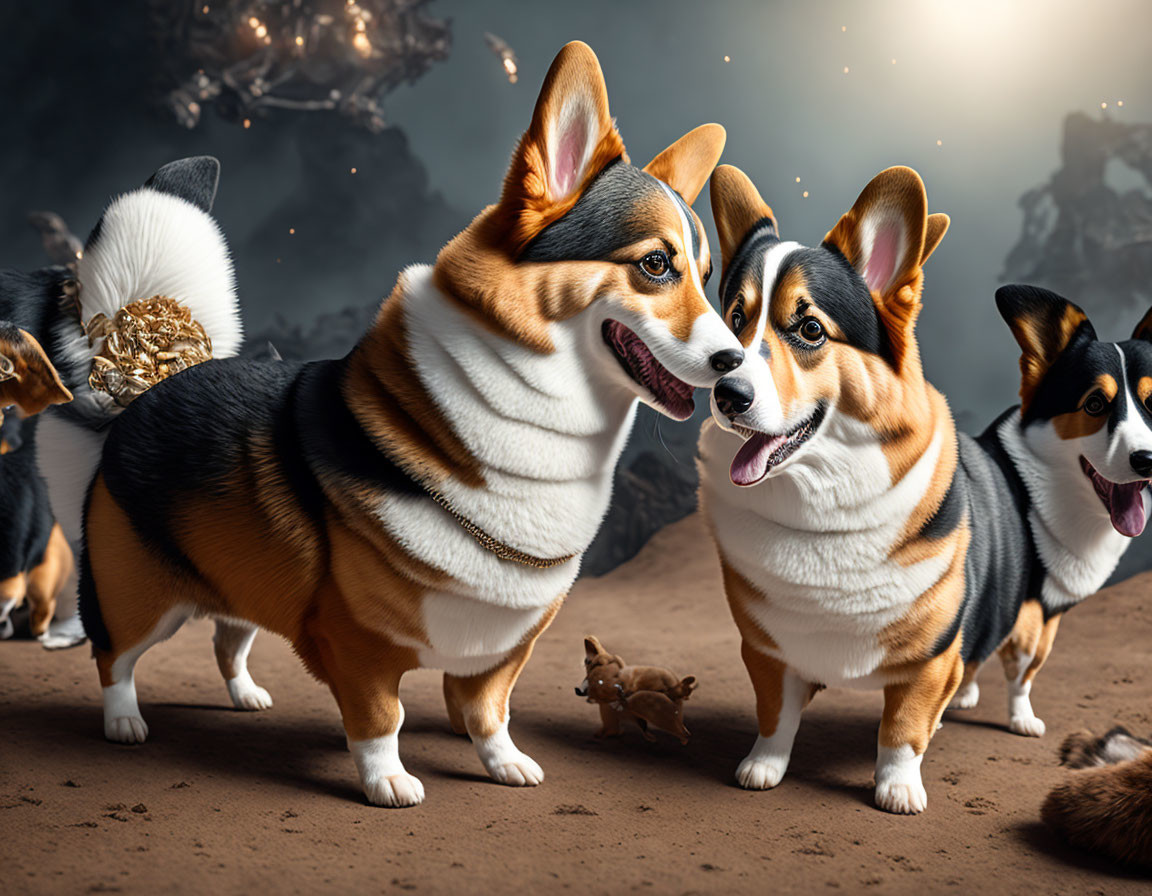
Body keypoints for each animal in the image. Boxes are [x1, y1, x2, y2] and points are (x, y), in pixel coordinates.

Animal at [81, 42, 746, 806]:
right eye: (656, 264)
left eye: (707, 276)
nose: (736, 366)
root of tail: (155, 381)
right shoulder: (357, 644)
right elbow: (381, 718)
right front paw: (388, 781)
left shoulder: (504, 649)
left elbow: (490, 711)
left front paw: (504, 763)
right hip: (138, 595)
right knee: (115, 656)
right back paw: (124, 724)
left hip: (242, 580)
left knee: (228, 636)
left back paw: (245, 694)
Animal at [695, 160, 1147, 810]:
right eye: (734, 319)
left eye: (809, 329)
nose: (727, 396)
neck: (822, 508)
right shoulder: (767, 649)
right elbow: (775, 715)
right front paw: (763, 767)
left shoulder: (930, 658)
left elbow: (903, 728)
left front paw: (898, 790)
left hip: (1031, 627)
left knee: (1017, 670)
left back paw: (1019, 718)